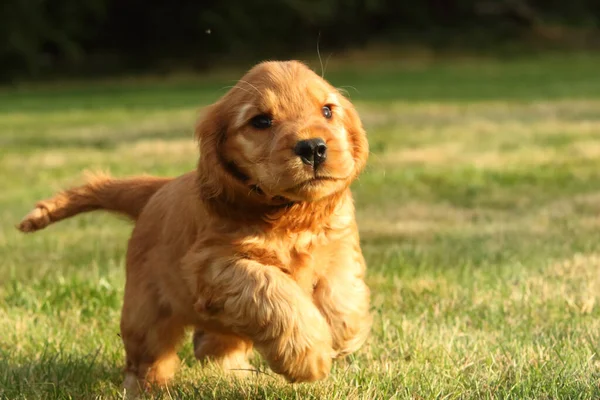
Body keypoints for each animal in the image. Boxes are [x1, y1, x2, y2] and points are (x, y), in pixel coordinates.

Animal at [18, 61, 370, 392]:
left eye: (327, 110)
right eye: (261, 121)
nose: (313, 147)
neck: (291, 215)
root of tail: (159, 188)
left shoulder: (338, 241)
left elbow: (342, 286)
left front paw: (342, 334)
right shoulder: (212, 264)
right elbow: (271, 288)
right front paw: (307, 354)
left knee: (212, 343)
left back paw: (231, 372)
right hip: (145, 311)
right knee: (147, 357)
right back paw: (149, 388)